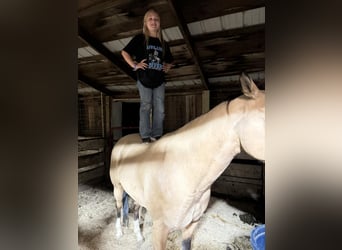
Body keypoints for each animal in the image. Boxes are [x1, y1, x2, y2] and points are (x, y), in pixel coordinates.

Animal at [109, 72, 264, 248]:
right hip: (117, 188)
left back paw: (139, 237)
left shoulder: (191, 225)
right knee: (118, 207)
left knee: (135, 209)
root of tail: (122, 141)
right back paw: (119, 233)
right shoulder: (160, 228)